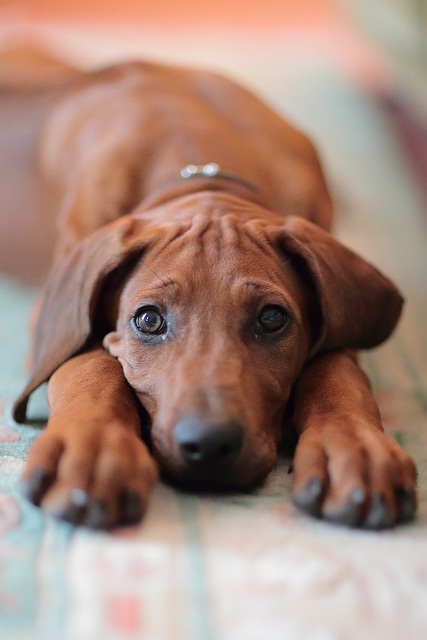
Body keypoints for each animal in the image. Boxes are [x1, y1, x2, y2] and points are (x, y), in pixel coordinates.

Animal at [7, 58, 418, 528]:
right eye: (148, 319)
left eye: (272, 318)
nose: (207, 446)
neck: (200, 170)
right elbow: (87, 361)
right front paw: (92, 448)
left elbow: (336, 363)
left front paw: (354, 446)